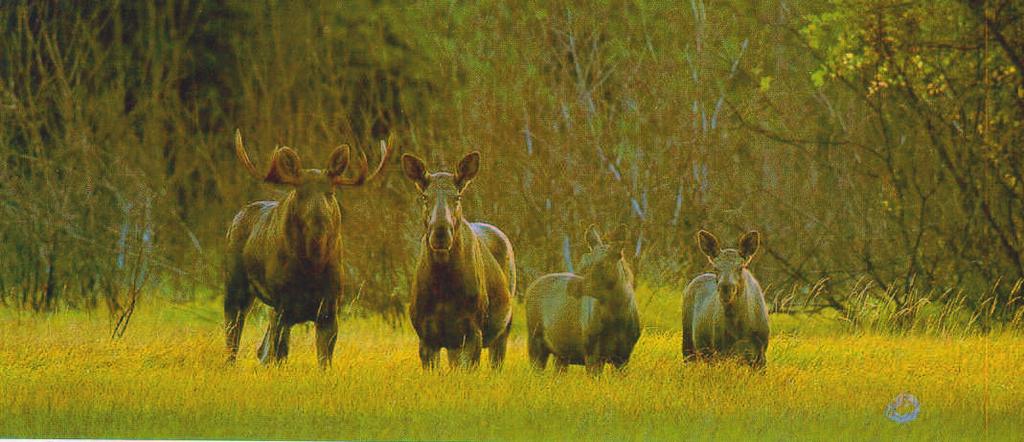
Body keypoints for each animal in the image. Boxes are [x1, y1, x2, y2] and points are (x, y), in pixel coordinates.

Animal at [225, 130, 391, 366]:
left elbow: (324, 360)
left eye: (330, 192)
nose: (319, 223)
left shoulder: (329, 308)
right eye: (300, 193)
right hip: (235, 285)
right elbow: (279, 354)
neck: (311, 268)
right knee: (233, 337)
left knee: (261, 348)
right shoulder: (282, 304)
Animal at [397, 151, 512, 370]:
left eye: (457, 196)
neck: (444, 288)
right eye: (425, 197)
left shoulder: (473, 330)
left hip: (503, 328)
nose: (440, 232)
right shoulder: (426, 336)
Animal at [528, 224, 638, 372]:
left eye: (601, 264)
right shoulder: (592, 353)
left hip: (560, 355)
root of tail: (530, 287)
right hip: (535, 341)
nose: (571, 286)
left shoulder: (624, 356)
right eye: (583, 260)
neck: (617, 315)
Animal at [679, 229, 770, 368]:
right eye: (715, 268)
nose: (725, 290)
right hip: (689, 343)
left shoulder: (761, 354)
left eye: (740, 267)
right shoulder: (721, 351)